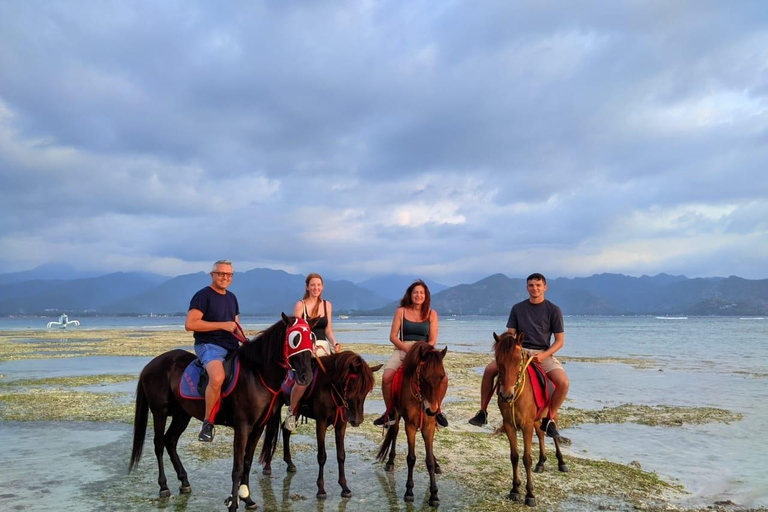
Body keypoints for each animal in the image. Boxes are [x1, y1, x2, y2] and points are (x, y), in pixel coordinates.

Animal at [129, 312, 312, 512]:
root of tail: (150, 365)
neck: (257, 375)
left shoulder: (258, 428)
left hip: (182, 415)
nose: (307, 376)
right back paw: (163, 486)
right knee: (159, 444)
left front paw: (247, 499)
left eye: (312, 337)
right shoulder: (242, 427)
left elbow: (247, 462)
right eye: (295, 339)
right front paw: (234, 503)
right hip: (160, 412)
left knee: (170, 441)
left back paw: (184, 482)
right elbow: (237, 467)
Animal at [260, 350, 384, 498]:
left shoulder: (341, 424)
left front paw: (344, 487)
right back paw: (267, 466)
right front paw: (321, 489)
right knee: (271, 433)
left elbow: (341, 455)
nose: (357, 420)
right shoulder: (321, 423)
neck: (331, 388)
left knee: (286, 430)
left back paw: (289, 463)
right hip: (275, 408)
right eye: (353, 386)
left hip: (295, 411)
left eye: (366, 391)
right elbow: (322, 456)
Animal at [376, 342, 448, 506]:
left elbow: (429, 461)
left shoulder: (428, 426)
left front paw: (434, 494)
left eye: (441, 377)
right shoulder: (410, 426)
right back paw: (390, 462)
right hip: (395, 415)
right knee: (394, 432)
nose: (432, 410)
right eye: (423, 377)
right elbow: (411, 458)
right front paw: (409, 491)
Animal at [496, 330, 568, 506]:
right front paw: (515, 489)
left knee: (554, 434)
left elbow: (526, 458)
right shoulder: (509, 425)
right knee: (541, 434)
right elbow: (514, 457)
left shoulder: (526, 425)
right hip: (537, 419)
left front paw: (530, 494)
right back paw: (541, 462)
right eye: (498, 360)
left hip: (551, 413)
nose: (506, 395)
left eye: (517, 361)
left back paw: (561, 463)